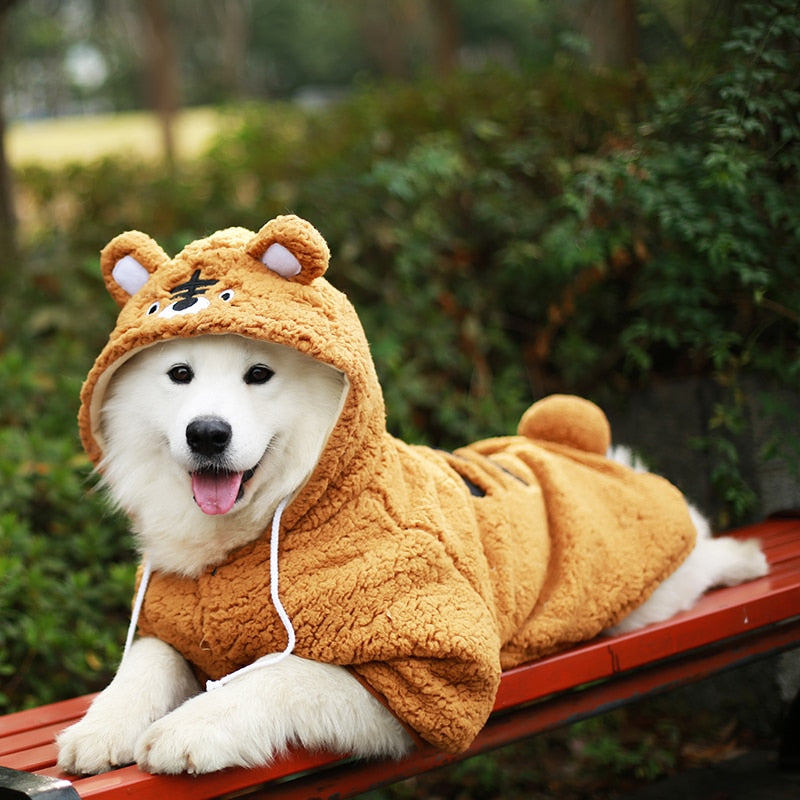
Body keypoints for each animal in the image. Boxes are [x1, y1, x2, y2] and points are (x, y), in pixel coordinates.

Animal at [56, 332, 768, 776]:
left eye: (260, 374)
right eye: (179, 375)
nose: (207, 433)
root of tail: (582, 448)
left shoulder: (421, 674)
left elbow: (278, 675)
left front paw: (191, 728)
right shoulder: (176, 618)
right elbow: (143, 666)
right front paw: (99, 729)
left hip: (641, 589)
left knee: (699, 550)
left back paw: (746, 557)